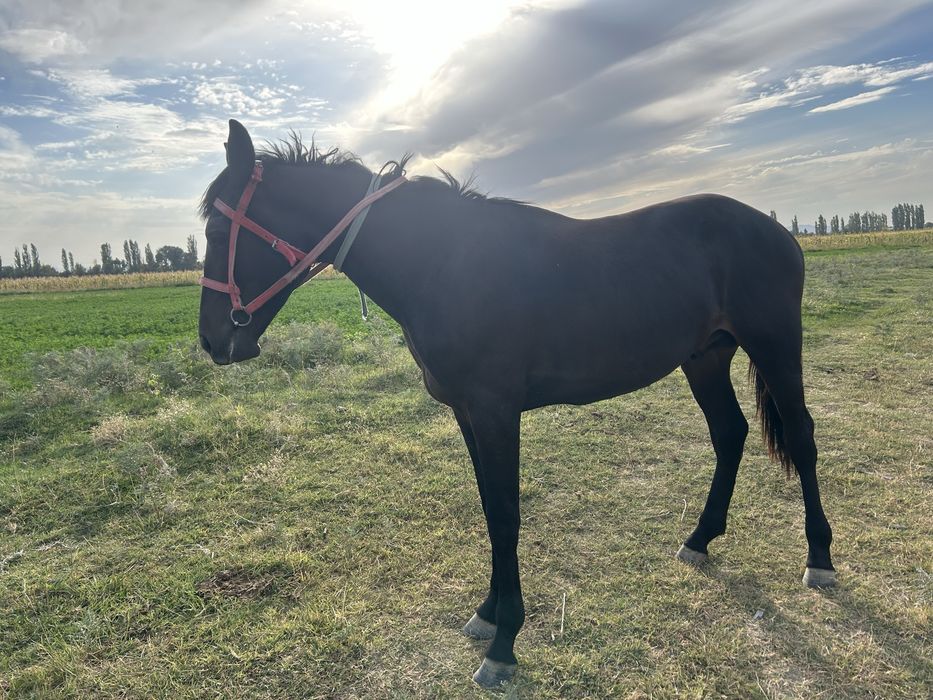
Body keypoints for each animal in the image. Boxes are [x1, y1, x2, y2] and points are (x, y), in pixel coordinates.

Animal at [197, 119, 835, 689]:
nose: (212, 341)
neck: (441, 264)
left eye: (218, 232)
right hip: (704, 357)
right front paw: (487, 613)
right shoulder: (467, 414)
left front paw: (504, 645)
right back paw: (700, 539)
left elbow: (505, 514)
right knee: (729, 433)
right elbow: (489, 508)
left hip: (776, 346)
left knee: (801, 437)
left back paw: (820, 559)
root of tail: (775, 230)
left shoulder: (495, 412)